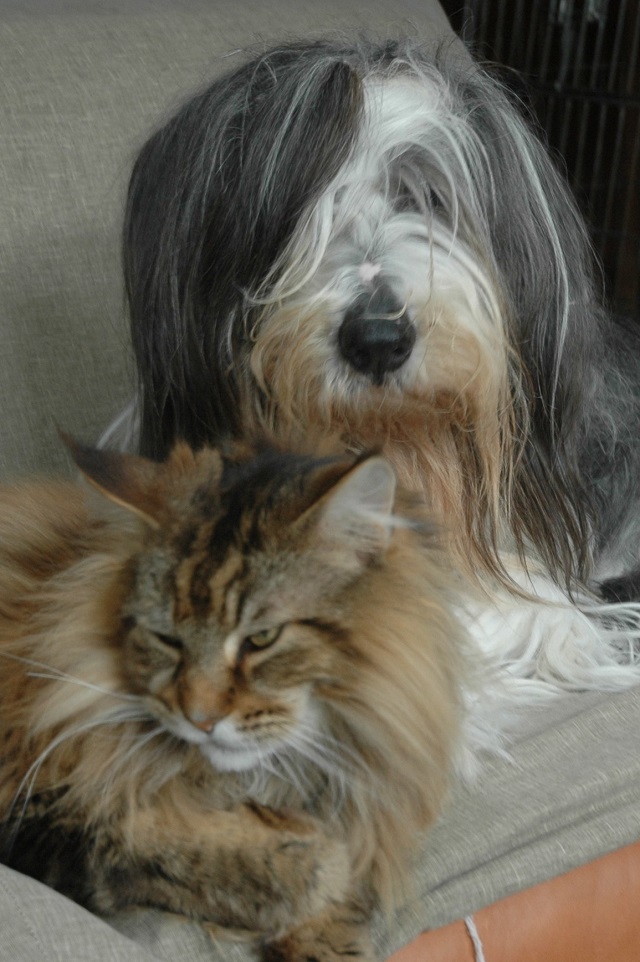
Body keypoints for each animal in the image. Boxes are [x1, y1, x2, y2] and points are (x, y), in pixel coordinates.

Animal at [0, 436, 467, 962]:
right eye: (168, 639)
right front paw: (313, 861)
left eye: (261, 638)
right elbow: (179, 846)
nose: (200, 718)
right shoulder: (38, 810)